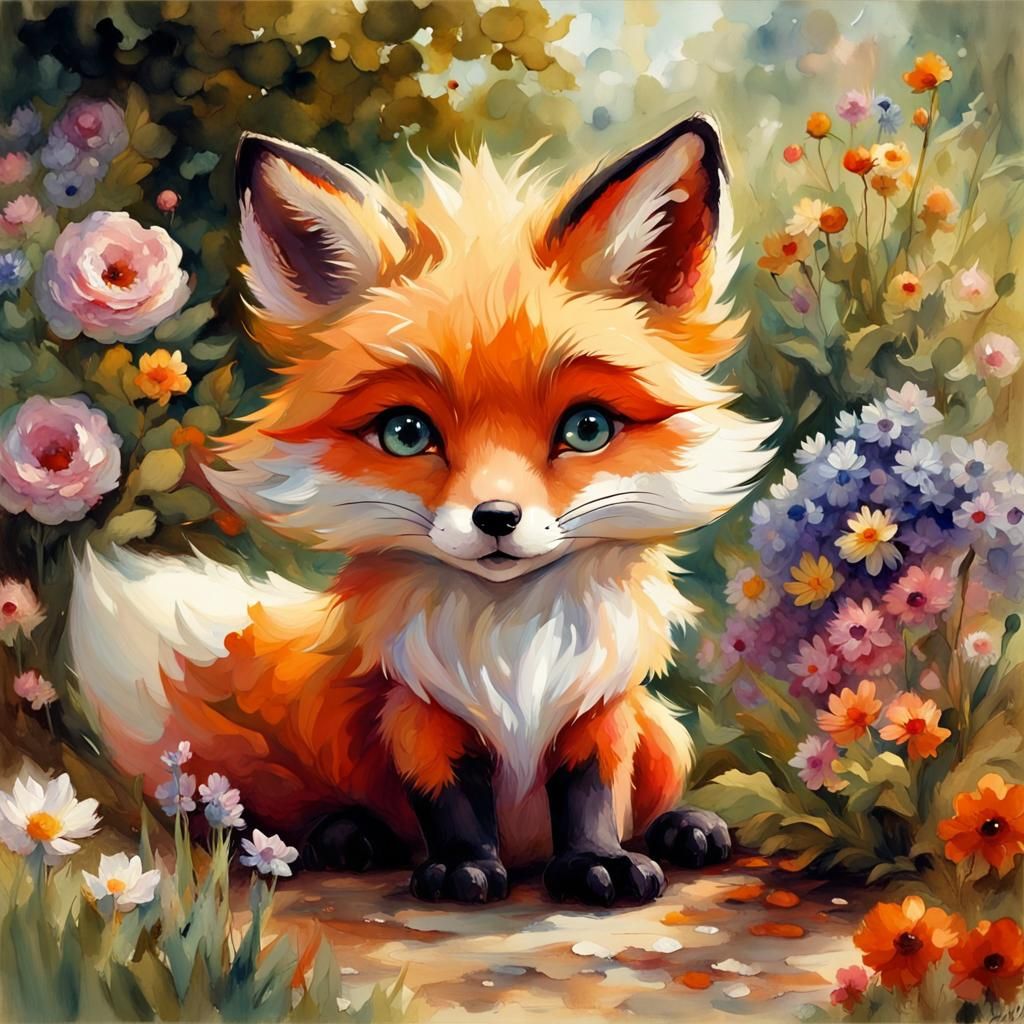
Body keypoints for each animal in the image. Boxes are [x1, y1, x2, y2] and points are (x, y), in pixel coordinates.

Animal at [69, 116, 775, 906]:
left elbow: (592, 792)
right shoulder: (418, 713)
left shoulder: (600, 709)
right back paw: (347, 835)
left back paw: (686, 828)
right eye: (406, 433)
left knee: (656, 792)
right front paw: (463, 868)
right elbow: (451, 800)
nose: (496, 518)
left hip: (662, 734)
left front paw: (601, 862)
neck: (510, 643)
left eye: (587, 428)